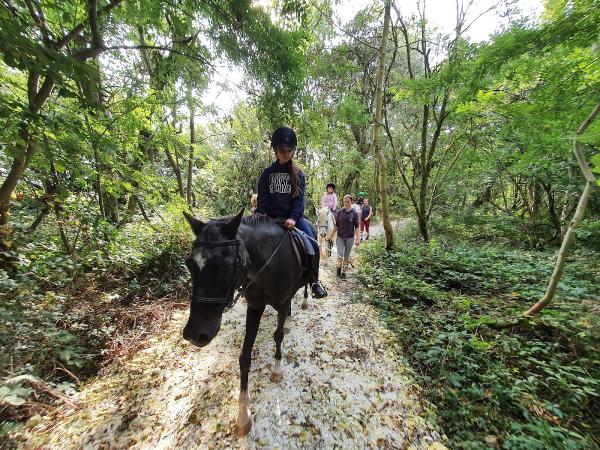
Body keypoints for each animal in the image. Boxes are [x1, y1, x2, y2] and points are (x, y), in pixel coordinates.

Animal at [182, 210, 314, 436]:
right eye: (189, 264)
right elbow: (244, 357)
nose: (194, 334)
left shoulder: (282, 302)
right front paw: (243, 415)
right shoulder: (255, 307)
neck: (268, 264)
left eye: (225, 267)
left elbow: (278, 336)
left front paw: (277, 371)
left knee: (304, 287)